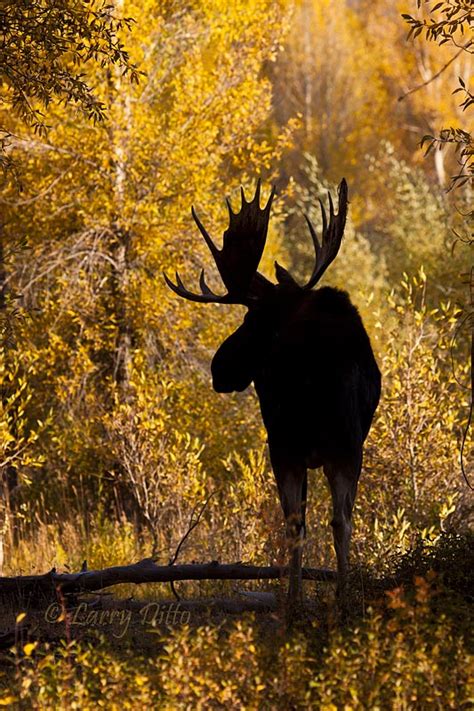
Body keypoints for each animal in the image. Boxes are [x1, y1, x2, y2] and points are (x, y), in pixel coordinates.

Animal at [166, 181, 382, 604]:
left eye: (251, 319)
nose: (218, 369)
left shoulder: (285, 445)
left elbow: (296, 522)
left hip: (289, 443)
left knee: (299, 524)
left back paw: (294, 602)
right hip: (346, 445)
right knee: (341, 520)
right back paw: (342, 597)